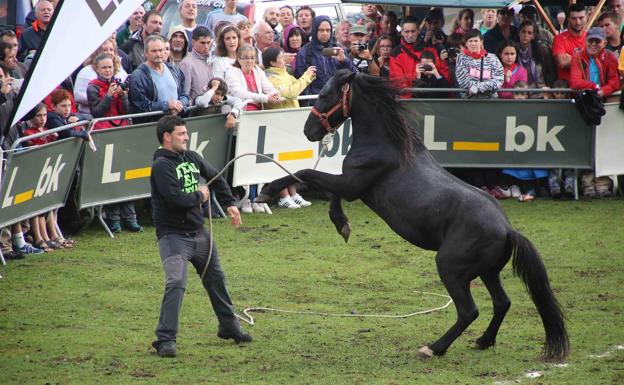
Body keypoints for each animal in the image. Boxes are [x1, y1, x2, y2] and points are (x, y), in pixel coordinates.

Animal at [255, 69, 572, 360]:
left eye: (324, 94)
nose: (308, 131)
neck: (387, 144)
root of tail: (508, 230)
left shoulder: (352, 183)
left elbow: (306, 173)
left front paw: (267, 191)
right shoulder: (350, 185)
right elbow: (323, 188)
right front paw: (342, 225)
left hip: (451, 269)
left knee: (469, 311)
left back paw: (433, 348)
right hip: (488, 272)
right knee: (502, 303)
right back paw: (484, 341)